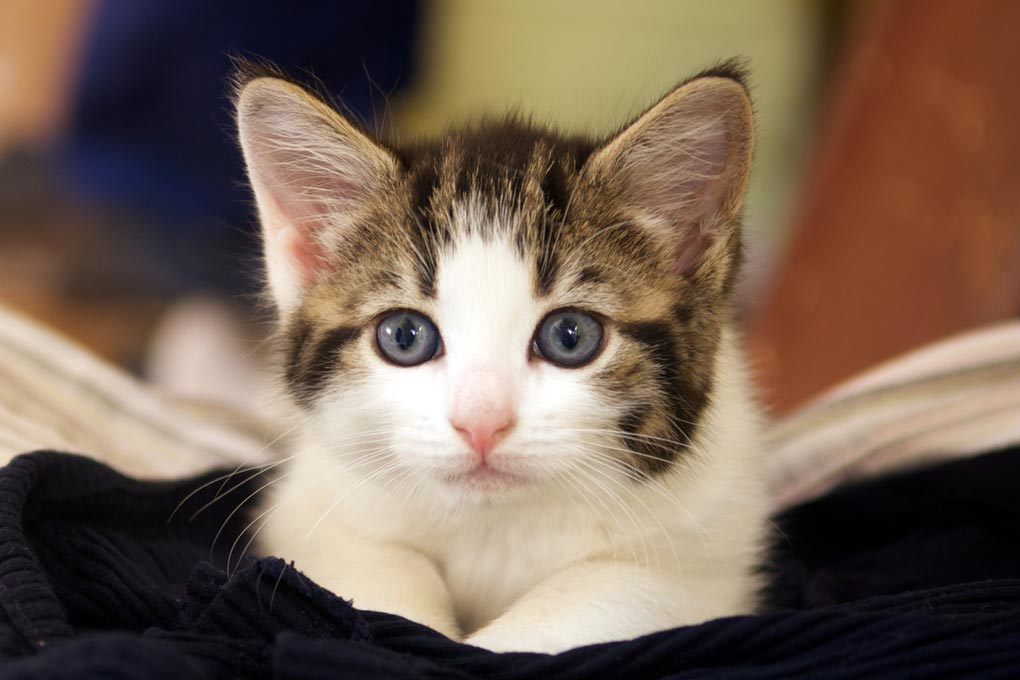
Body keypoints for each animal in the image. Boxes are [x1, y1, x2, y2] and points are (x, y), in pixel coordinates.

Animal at [236, 62, 767, 652]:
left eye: (570, 336)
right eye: (404, 336)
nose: (481, 424)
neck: (494, 525)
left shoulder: (707, 552)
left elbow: (604, 596)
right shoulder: (314, 510)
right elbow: (369, 581)